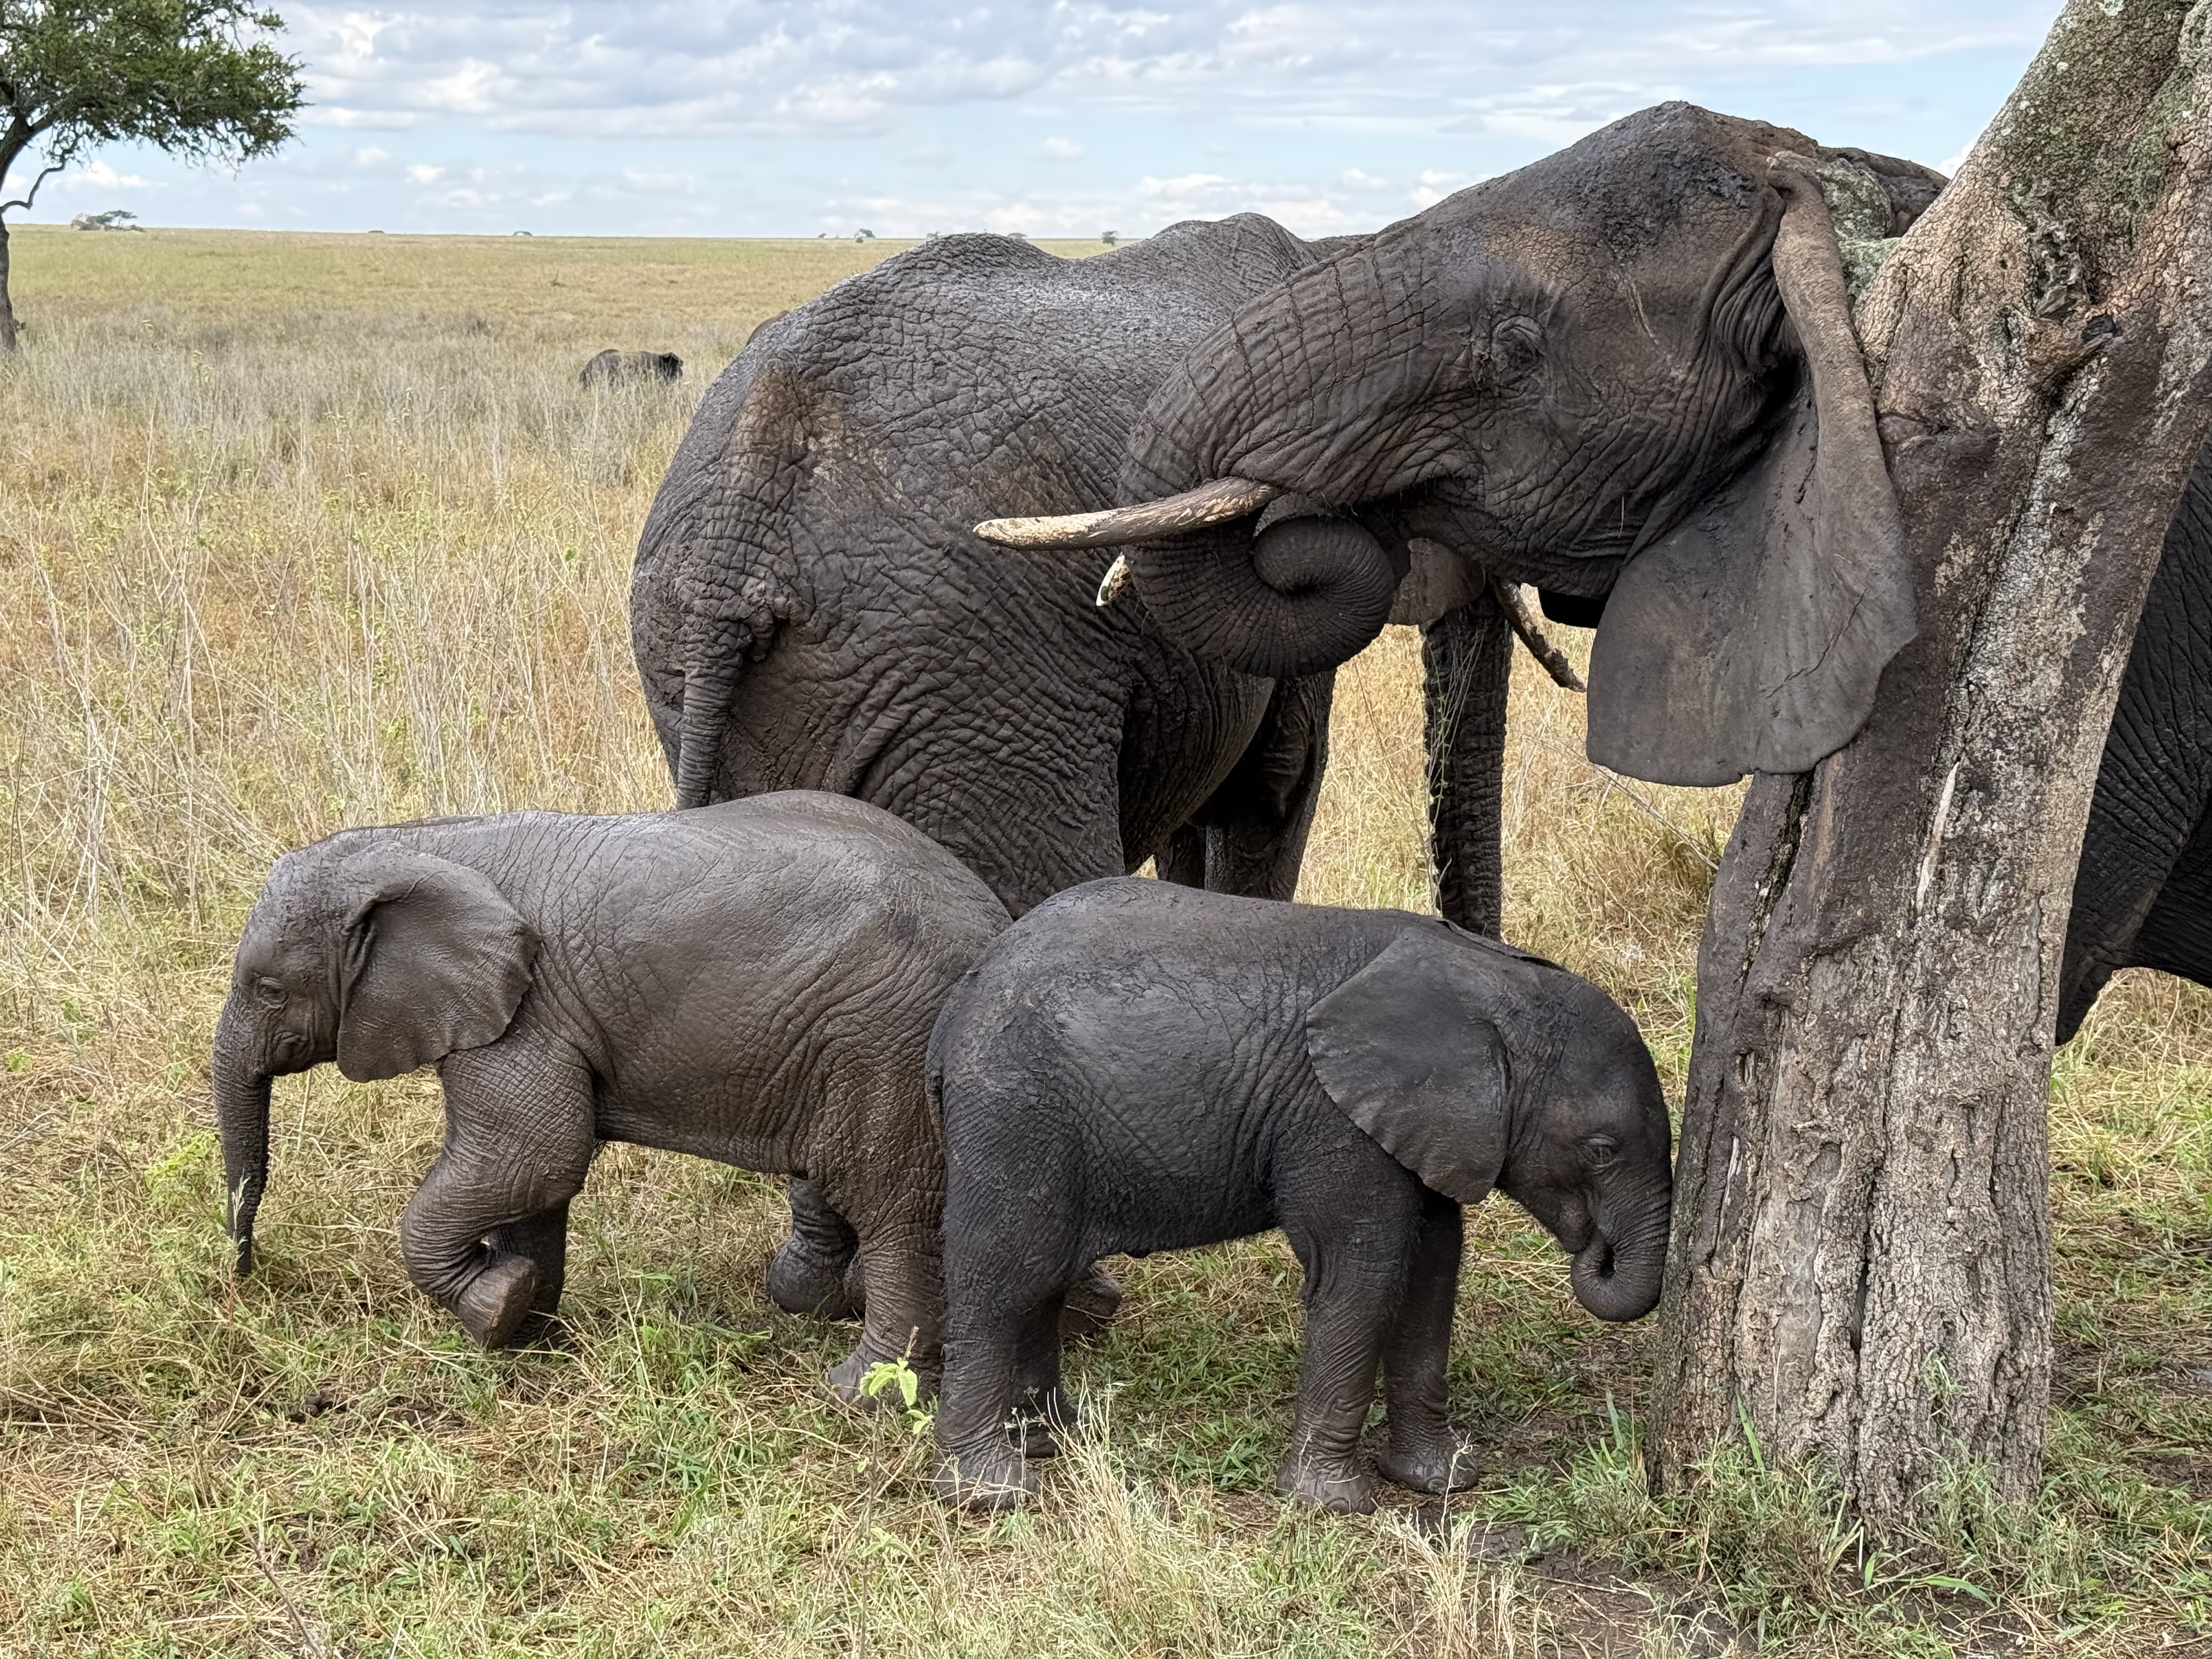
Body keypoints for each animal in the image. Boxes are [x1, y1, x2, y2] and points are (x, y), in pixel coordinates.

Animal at [211, 792, 1008, 1395]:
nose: (246, 1277)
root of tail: (995, 921)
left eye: (271, 990)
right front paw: (527, 1329)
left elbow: (534, 1156)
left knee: (892, 1205)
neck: (414, 842)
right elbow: (532, 1182)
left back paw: (857, 1394)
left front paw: (496, 1307)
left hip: (887, 1041)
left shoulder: (526, 1014)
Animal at [926, 878, 1673, 1513]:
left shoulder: (1417, 1127)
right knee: (1004, 1279)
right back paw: (990, 1492)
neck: (1490, 977)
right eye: (1601, 1150)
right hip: (1015, 1112)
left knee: (1040, 1278)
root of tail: (964, 995)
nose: (1597, 1249)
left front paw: (1443, 1481)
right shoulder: (1332, 1119)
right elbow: (1362, 1276)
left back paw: (1052, 1439)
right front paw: (1332, 1504)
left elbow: (1433, 1275)